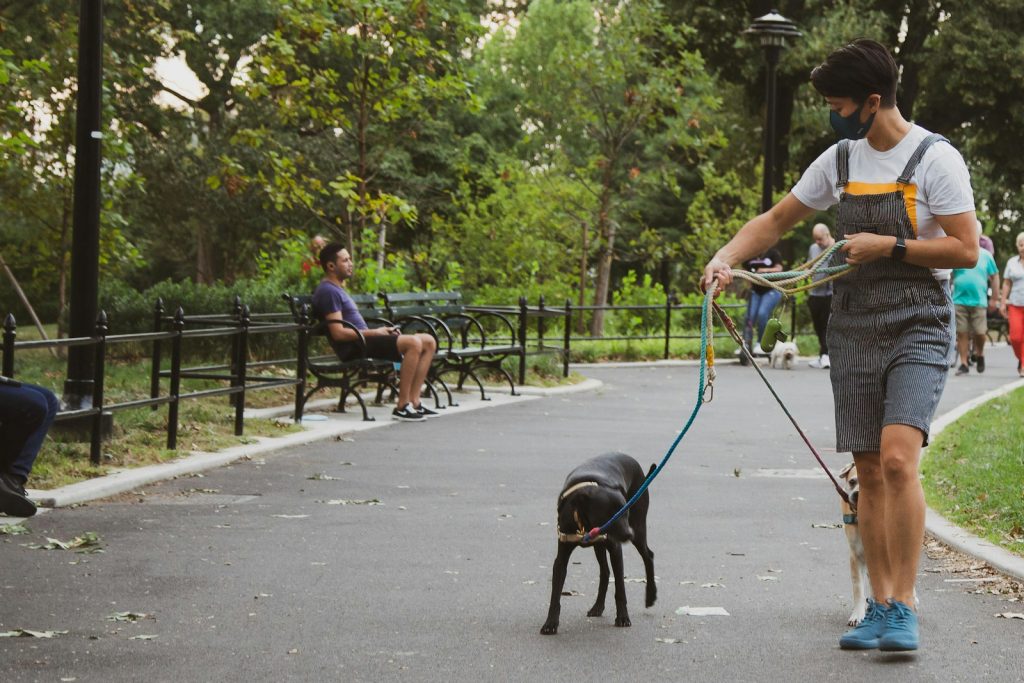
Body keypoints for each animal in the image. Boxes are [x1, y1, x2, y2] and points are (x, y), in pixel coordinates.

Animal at [544, 454, 655, 634]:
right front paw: (550, 623)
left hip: (638, 529)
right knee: (605, 571)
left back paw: (651, 595)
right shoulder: (561, 558)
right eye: (609, 515)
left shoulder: (616, 550)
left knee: (648, 556)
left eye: (625, 512)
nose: (628, 534)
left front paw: (623, 618)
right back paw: (598, 606)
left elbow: (620, 589)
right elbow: (555, 594)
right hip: (600, 546)